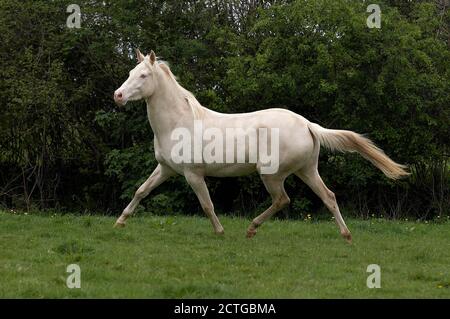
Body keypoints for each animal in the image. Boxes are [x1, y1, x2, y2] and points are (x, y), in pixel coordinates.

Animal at [111, 50, 408, 244]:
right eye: (130, 73)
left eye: (144, 75)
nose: (118, 95)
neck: (178, 122)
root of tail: (307, 124)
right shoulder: (166, 169)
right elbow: (141, 191)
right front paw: (119, 222)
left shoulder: (193, 174)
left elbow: (207, 205)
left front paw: (220, 233)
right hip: (307, 170)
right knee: (329, 196)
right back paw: (346, 236)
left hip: (272, 174)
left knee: (283, 200)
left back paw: (251, 229)